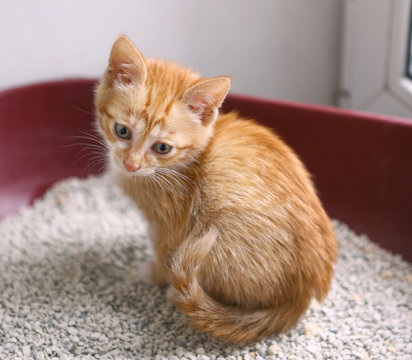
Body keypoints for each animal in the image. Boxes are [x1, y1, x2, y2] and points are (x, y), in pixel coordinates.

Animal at [95, 35, 336, 344]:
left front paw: (151, 274)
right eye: (122, 130)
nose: (131, 165)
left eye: (162, 148)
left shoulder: (171, 226)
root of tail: (300, 299)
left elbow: (164, 254)